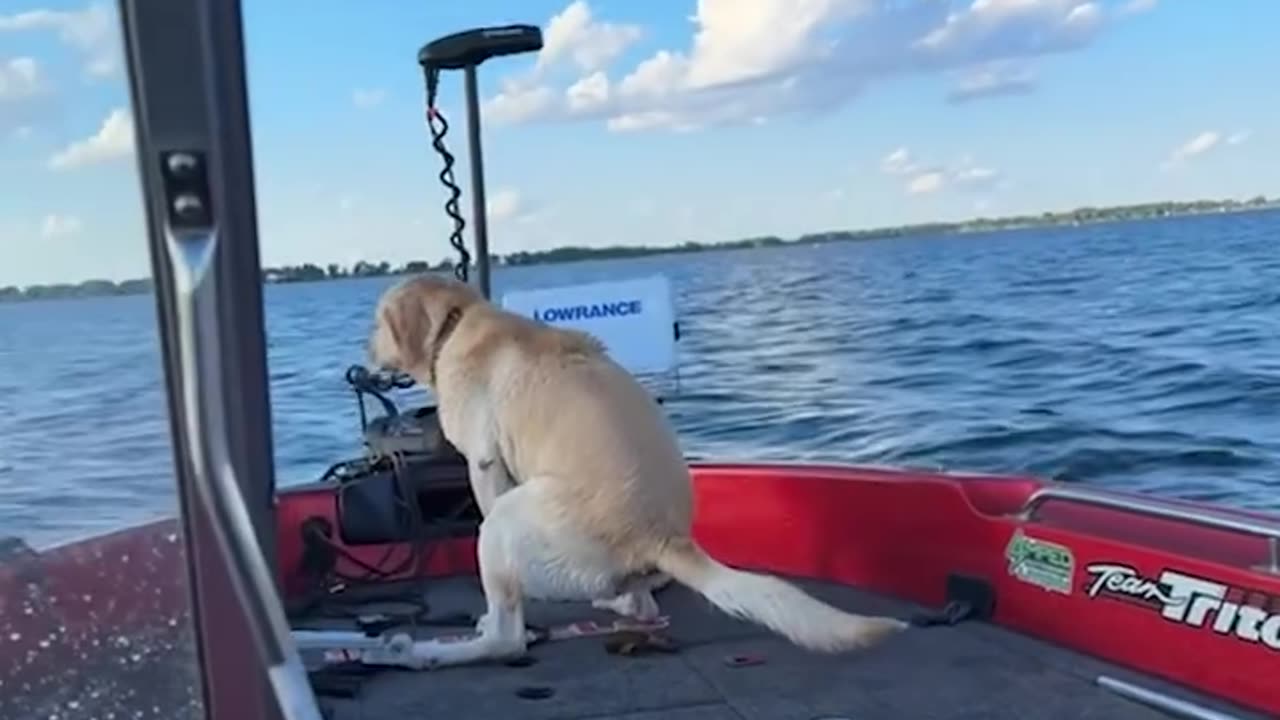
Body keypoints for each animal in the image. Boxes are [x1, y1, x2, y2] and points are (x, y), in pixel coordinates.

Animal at [368, 271, 911, 666]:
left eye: (377, 323)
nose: (363, 350)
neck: (457, 320)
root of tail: (660, 538)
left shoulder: (484, 464)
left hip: (505, 523)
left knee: (507, 638)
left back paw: (420, 652)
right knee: (641, 605)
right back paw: (616, 605)